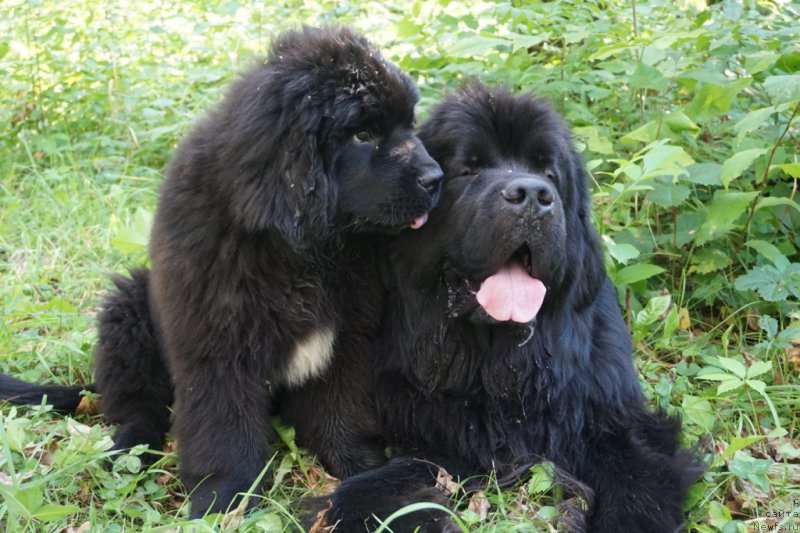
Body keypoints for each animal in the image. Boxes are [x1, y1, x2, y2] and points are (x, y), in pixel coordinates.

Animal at [0, 27, 440, 516]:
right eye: (363, 134)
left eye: (409, 124)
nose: (436, 177)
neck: (303, 248)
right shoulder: (216, 345)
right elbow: (225, 427)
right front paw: (224, 501)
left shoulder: (346, 337)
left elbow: (338, 408)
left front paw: (361, 469)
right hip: (128, 311)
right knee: (136, 405)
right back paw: (130, 450)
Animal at [322, 81, 704, 528]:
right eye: (467, 169)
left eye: (549, 174)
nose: (532, 195)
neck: (498, 363)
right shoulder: (439, 440)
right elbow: (361, 494)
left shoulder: (614, 426)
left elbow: (637, 490)